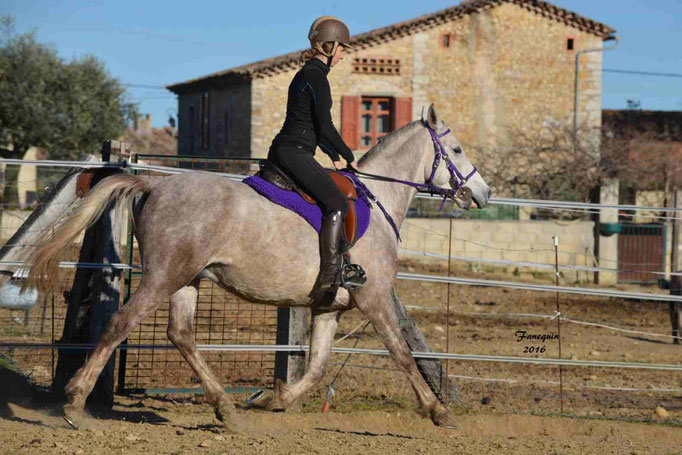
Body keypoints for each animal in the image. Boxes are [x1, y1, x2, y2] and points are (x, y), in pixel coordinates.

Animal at [25, 105, 488, 432]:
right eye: (458, 150)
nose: (482, 193)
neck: (379, 200)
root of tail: (154, 184)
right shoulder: (372, 298)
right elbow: (403, 354)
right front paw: (438, 411)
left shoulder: (329, 307)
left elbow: (317, 367)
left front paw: (272, 399)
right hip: (162, 277)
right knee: (121, 323)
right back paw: (74, 402)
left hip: (186, 280)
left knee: (181, 335)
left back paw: (227, 409)